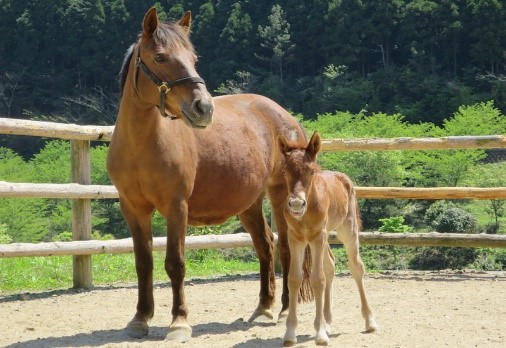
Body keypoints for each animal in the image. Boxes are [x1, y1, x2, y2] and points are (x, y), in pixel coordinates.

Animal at [106, 6, 304, 342]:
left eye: (193, 58)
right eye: (160, 57)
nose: (203, 108)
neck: (142, 145)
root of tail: (285, 116)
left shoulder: (177, 207)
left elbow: (175, 263)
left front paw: (179, 322)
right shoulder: (133, 208)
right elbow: (143, 263)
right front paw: (140, 319)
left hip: (280, 194)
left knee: (286, 246)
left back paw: (286, 310)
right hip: (249, 203)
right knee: (265, 244)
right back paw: (264, 308)